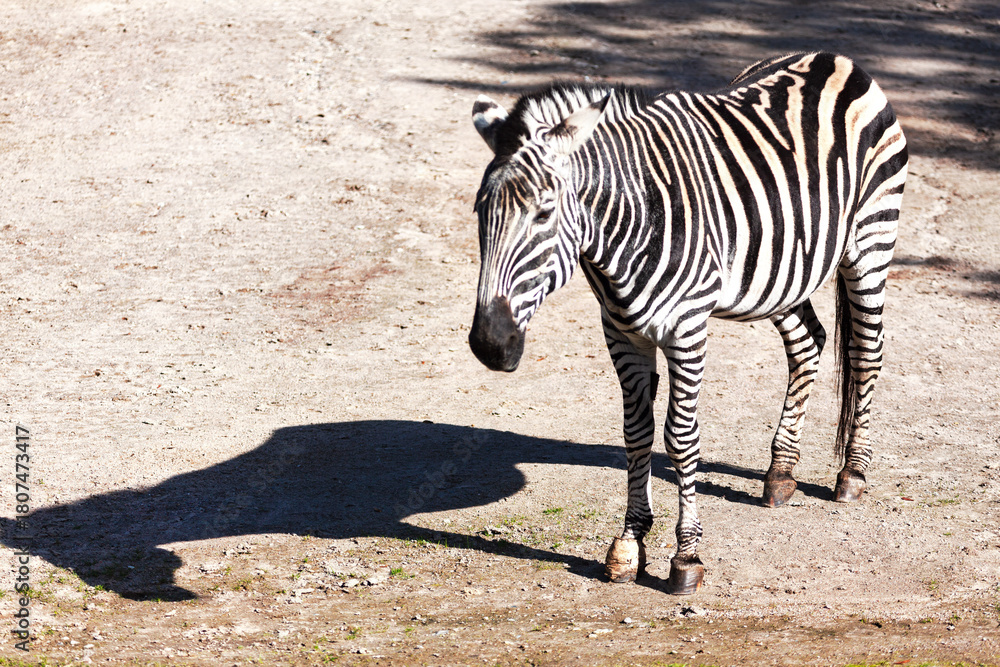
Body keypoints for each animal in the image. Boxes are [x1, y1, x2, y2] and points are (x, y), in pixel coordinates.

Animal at [467, 52, 908, 594]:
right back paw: (781, 472)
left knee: (866, 353)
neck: (627, 226)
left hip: (870, 243)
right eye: (480, 212)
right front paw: (629, 544)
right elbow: (636, 433)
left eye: (544, 213)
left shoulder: (687, 330)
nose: (490, 344)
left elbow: (680, 438)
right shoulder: (621, 332)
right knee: (809, 341)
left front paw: (686, 555)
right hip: (780, 273)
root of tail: (834, 58)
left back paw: (853, 474)